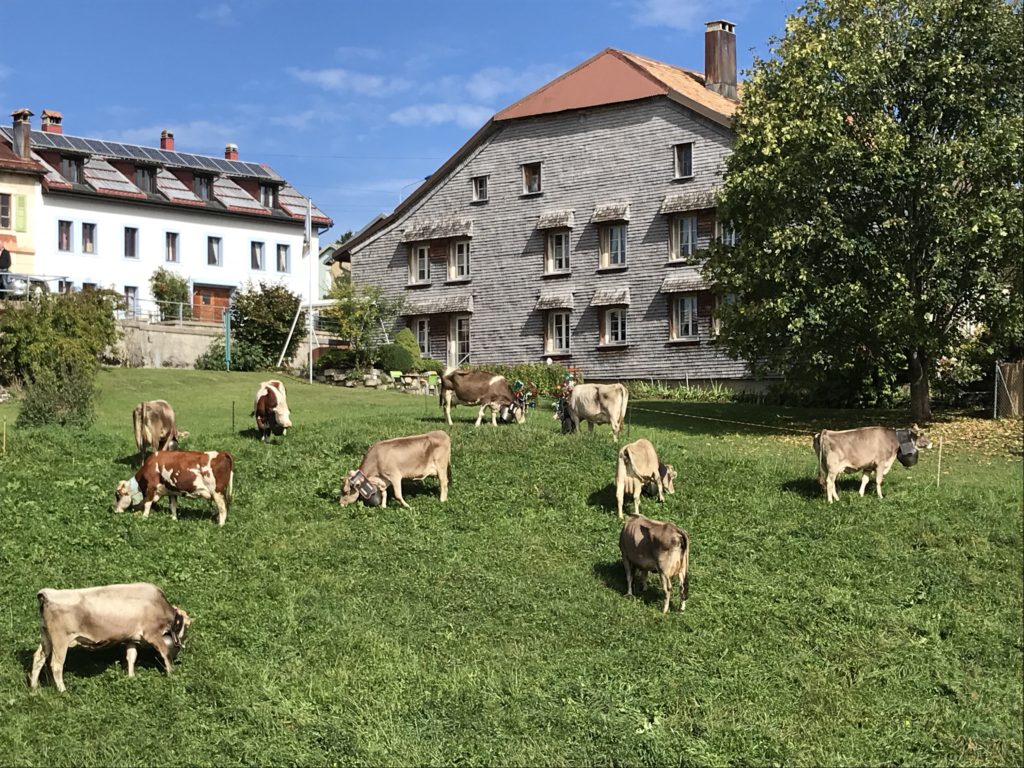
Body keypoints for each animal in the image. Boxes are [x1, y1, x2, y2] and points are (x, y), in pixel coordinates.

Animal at [29, 582, 191, 693]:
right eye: (186, 627)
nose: (181, 645)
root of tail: (47, 594)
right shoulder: (152, 634)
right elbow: (165, 653)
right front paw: (171, 674)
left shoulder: (131, 637)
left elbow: (131, 656)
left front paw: (131, 677)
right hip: (60, 640)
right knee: (56, 665)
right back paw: (63, 691)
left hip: (46, 636)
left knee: (38, 658)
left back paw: (34, 688)